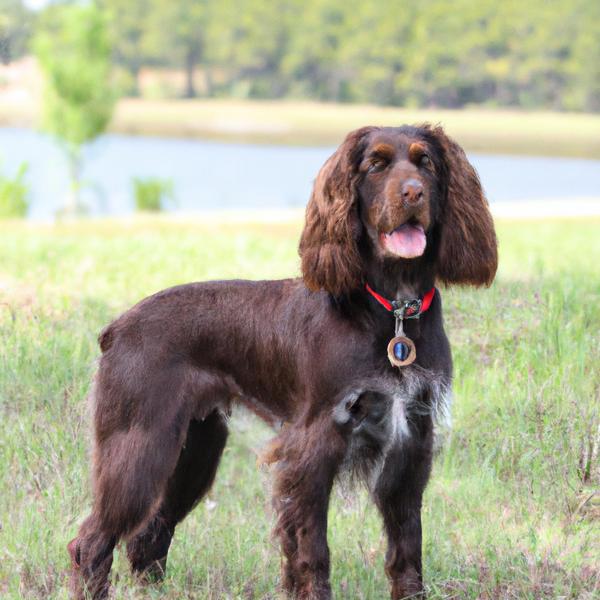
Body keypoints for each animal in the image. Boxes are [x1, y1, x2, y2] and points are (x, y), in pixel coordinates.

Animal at [69, 123, 496, 600]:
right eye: (375, 164)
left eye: (428, 163)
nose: (413, 193)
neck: (393, 311)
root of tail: (116, 327)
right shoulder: (313, 443)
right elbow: (312, 549)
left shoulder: (411, 442)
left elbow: (407, 547)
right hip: (140, 444)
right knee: (91, 541)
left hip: (195, 448)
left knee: (149, 535)